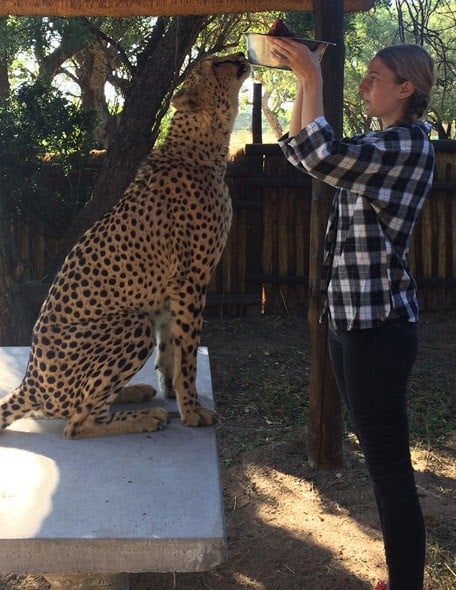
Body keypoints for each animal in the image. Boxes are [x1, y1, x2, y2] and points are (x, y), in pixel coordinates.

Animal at [0, 53, 249, 440]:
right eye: (215, 63)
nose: (239, 56)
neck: (196, 146)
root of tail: (31, 383)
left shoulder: (172, 289)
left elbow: (172, 345)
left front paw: (171, 388)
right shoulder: (190, 280)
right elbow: (188, 353)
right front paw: (191, 409)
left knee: (85, 405)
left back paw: (132, 393)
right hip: (132, 323)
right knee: (77, 423)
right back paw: (144, 417)